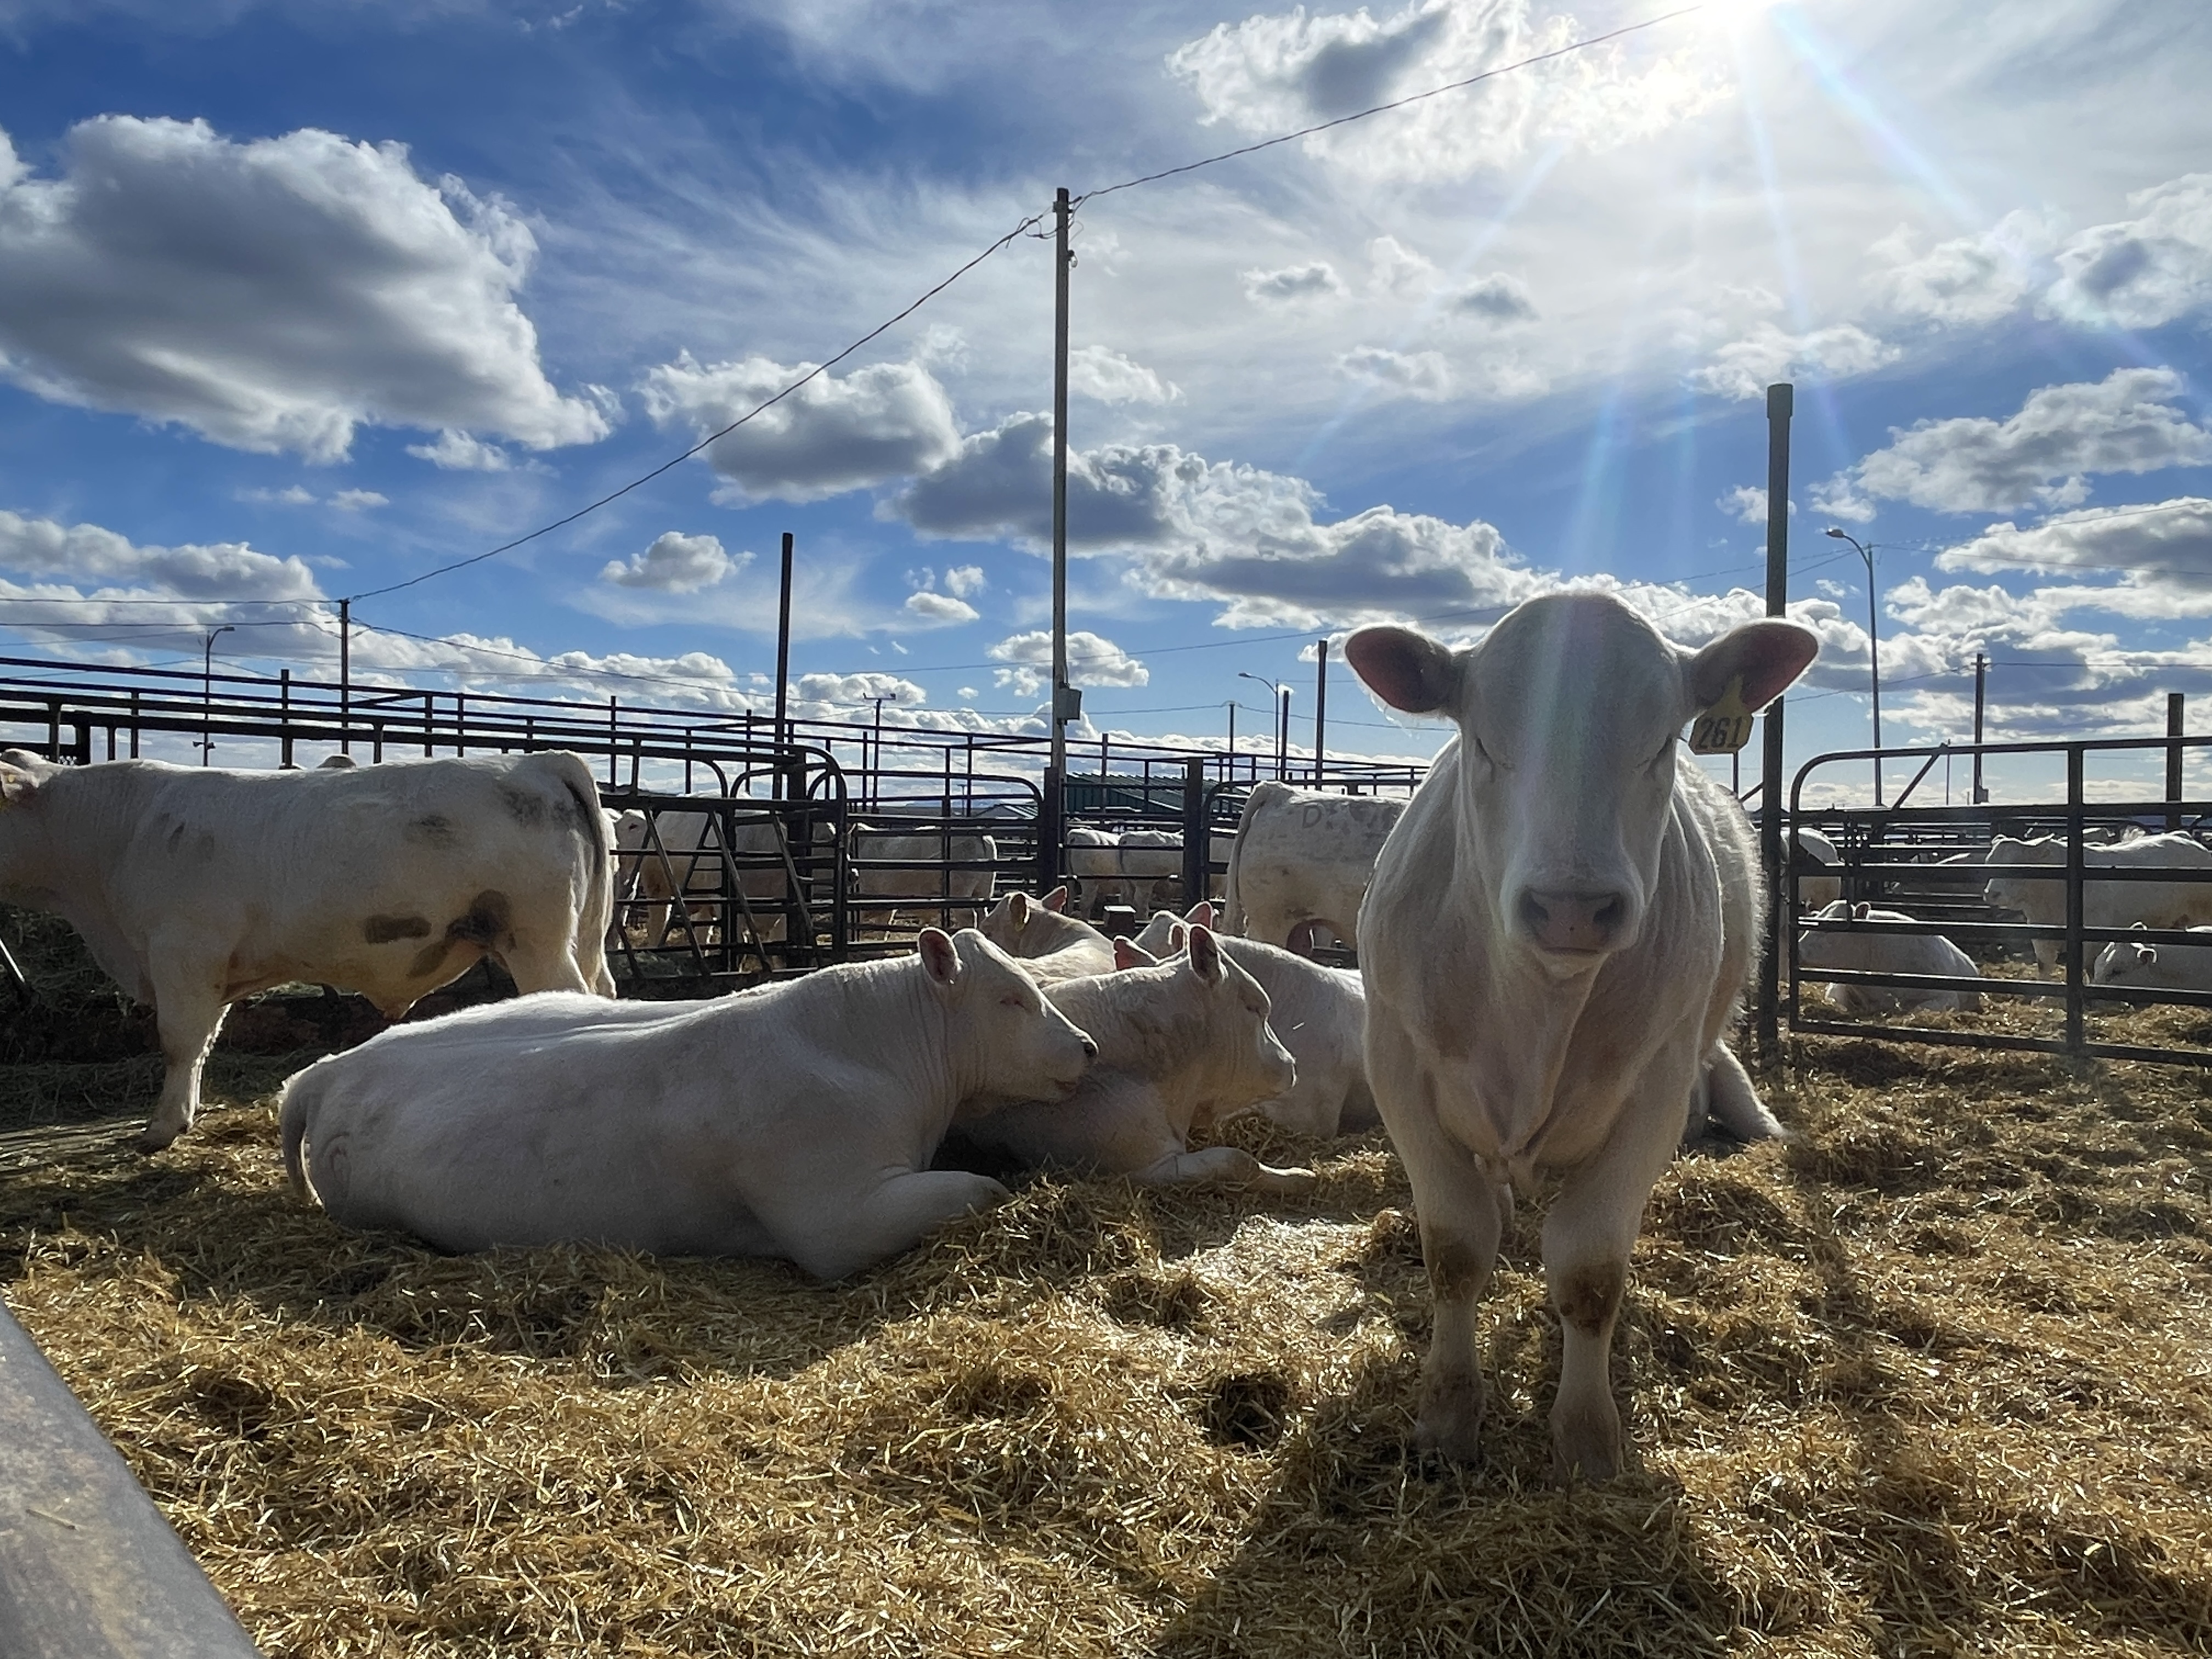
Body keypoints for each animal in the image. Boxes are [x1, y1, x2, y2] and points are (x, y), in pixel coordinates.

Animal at [0, 748, 616, 1152]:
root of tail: (537, 761)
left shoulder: (182, 951)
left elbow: (178, 1041)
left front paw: (160, 1128)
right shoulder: (209, 968)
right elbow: (203, 1042)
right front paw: (187, 1115)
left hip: (535, 941)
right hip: (580, 941)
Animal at [1345, 590, 1815, 1481]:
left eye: (1663, 740)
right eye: (1483, 741)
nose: (1571, 907)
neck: (1538, 1006)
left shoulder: (1655, 1096)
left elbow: (1591, 1272)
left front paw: (1588, 1438)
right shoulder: (1397, 1073)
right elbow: (1456, 1249)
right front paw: (1447, 1419)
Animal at [1983, 832, 2212, 974]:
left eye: (2018, 865)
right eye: (1989, 863)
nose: (1991, 893)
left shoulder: (2092, 938)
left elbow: (2088, 967)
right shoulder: (2041, 935)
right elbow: (2044, 966)